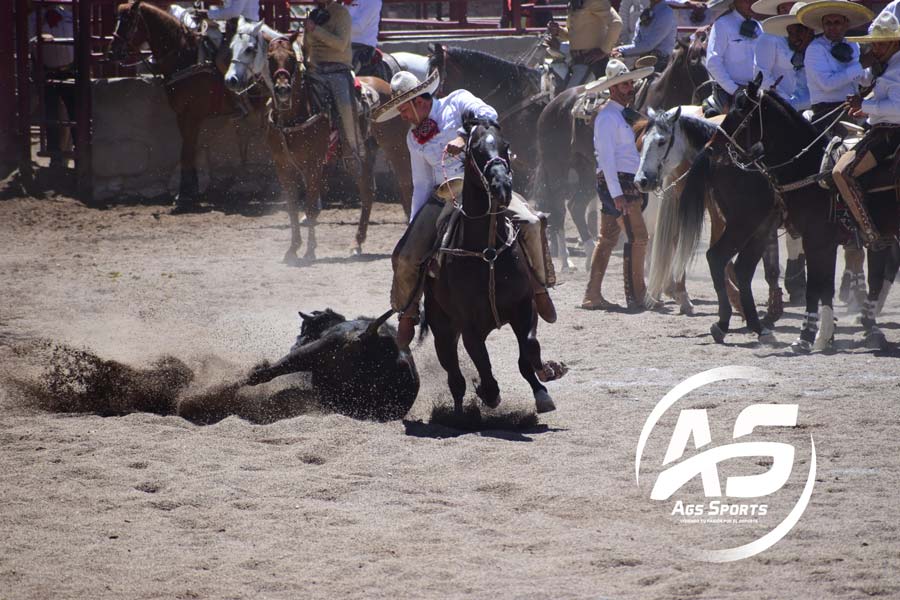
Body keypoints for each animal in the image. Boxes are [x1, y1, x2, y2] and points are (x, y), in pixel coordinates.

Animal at [108, 0, 246, 211]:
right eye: (116, 19)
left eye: (130, 21)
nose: (113, 52)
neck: (186, 58)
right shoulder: (181, 115)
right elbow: (187, 150)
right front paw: (191, 191)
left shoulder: (193, 115)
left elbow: (187, 151)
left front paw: (184, 195)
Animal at [250, 35, 412, 262]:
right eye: (270, 58)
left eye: (292, 58)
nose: (282, 89)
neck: (296, 115)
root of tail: (389, 88)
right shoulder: (282, 166)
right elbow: (292, 208)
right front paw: (293, 249)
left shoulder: (313, 165)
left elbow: (310, 208)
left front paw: (310, 251)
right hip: (362, 154)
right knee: (367, 191)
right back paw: (356, 244)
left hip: (396, 147)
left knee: (406, 186)